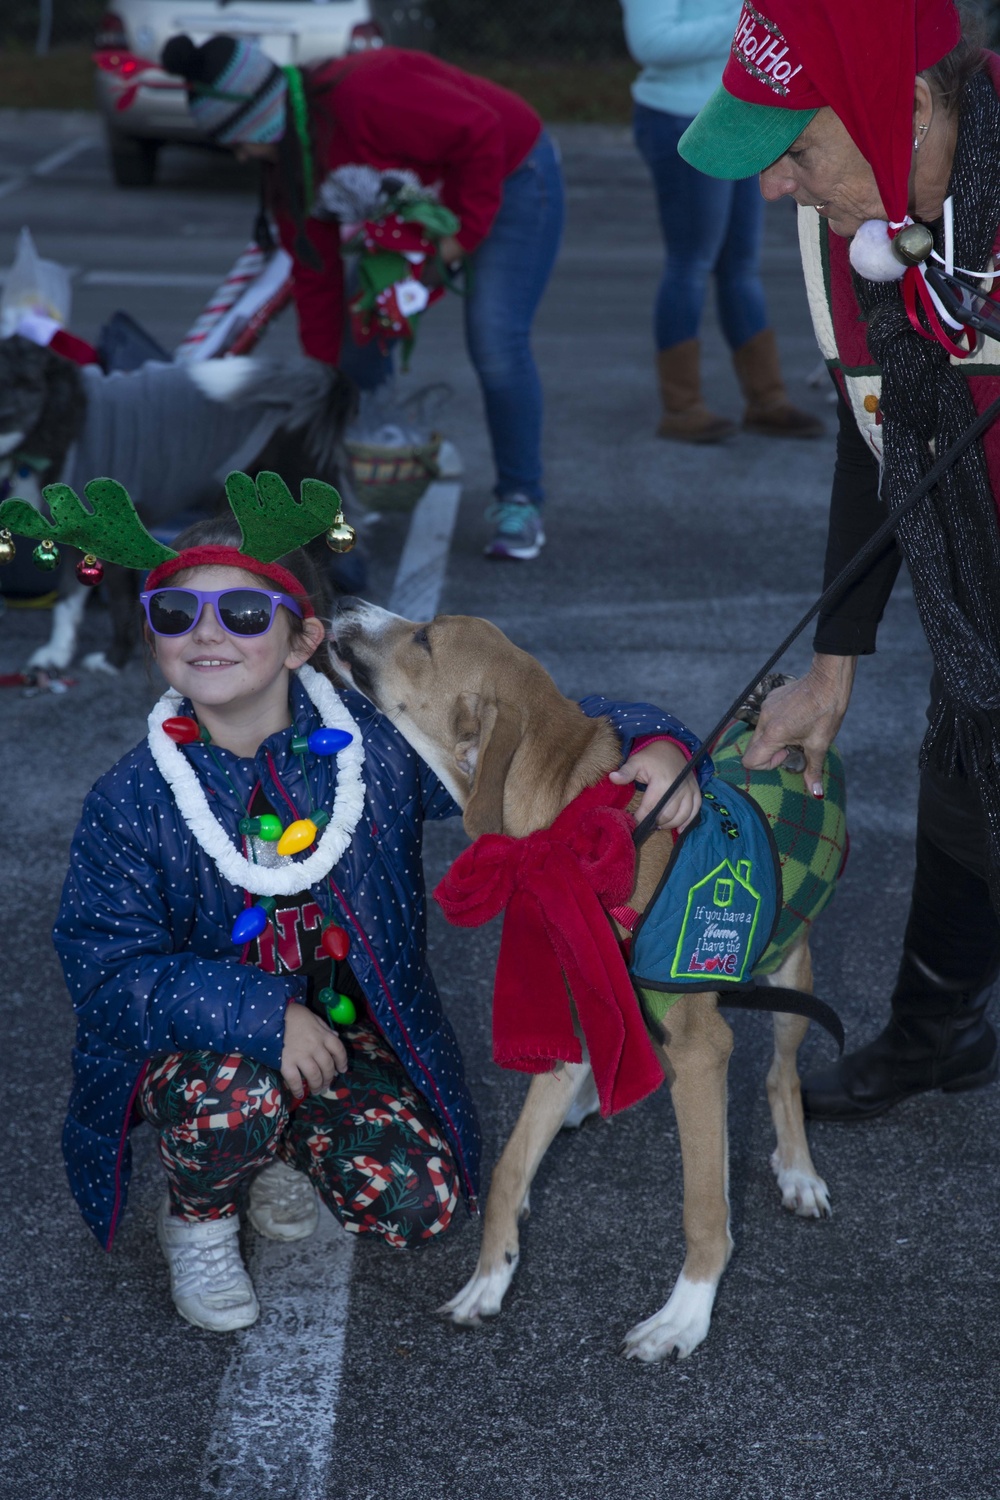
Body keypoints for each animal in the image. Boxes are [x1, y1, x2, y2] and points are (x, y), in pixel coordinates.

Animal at [0, 340, 355, 675]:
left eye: (23, 382)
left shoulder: (118, 534)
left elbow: (119, 605)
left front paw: (114, 661)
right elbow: (67, 600)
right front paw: (55, 655)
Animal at [328, 597, 827, 1362]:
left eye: (425, 638)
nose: (342, 604)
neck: (566, 831)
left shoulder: (702, 1050)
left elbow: (703, 1204)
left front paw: (685, 1315)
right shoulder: (564, 1008)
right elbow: (508, 1168)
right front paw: (490, 1277)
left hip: (791, 969)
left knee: (783, 1073)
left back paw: (798, 1170)